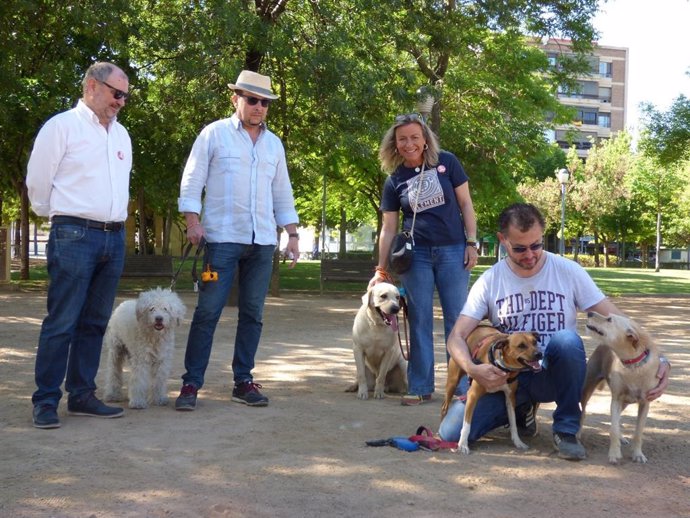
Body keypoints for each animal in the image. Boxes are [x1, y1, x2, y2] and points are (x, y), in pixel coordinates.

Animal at [580, 312, 660, 468]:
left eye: (609, 319)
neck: (633, 366)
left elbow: (638, 432)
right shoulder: (616, 399)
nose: (590, 312)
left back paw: (622, 438)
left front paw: (638, 454)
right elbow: (613, 430)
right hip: (587, 389)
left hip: (625, 402)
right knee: (583, 414)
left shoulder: (645, 403)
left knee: (617, 419)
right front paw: (614, 454)